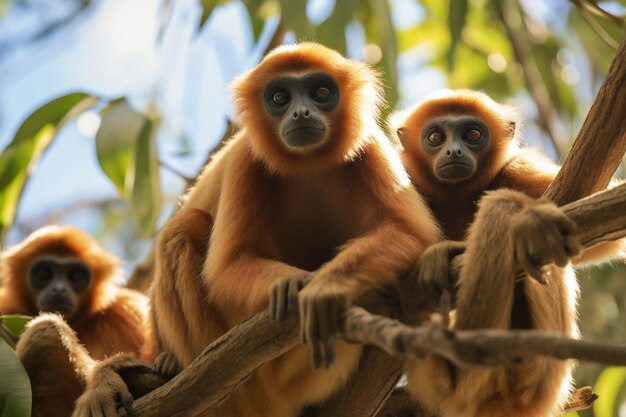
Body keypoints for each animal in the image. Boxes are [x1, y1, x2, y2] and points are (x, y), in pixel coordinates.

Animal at [70, 43, 442, 416]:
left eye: (321, 93)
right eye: (279, 98)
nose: (301, 113)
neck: (308, 164)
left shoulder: (370, 146)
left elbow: (410, 234)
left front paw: (326, 288)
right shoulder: (245, 161)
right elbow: (227, 266)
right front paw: (290, 283)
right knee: (185, 229)